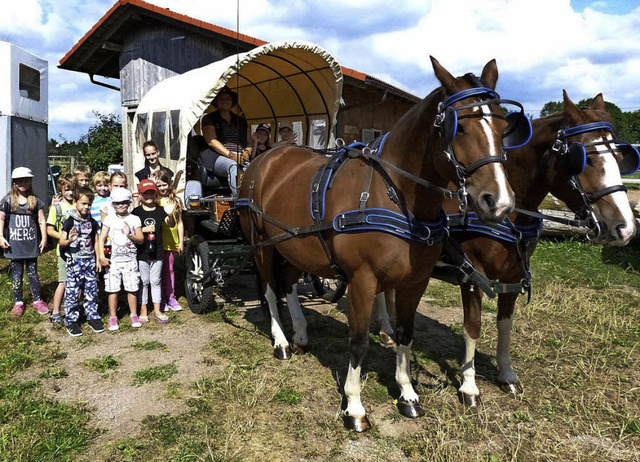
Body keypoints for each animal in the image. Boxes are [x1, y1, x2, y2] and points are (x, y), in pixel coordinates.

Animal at [238, 56, 528, 430]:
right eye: (458, 127)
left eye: (503, 126)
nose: (500, 201)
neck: (394, 194)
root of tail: (266, 158)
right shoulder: (362, 280)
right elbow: (359, 341)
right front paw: (354, 407)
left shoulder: (414, 281)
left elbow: (405, 333)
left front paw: (407, 394)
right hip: (262, 243)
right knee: (271, 290)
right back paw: (281, 341)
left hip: (293, 245)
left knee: (287, 284)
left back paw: (300, 336)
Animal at [380, 91, 636, 408]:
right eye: (582, 159)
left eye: (620, 157)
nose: (625, 227)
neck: (509, 216)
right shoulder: (472, 275)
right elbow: (473, 326)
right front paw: (469, 387)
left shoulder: (513, 275)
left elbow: (505, 324)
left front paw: (507, 376)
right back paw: (386, 329)